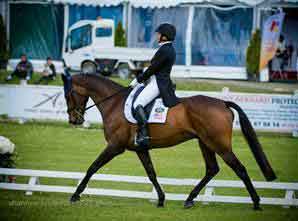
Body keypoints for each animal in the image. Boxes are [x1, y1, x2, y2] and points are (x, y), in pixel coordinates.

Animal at [62, 73, 278, 210]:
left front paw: (75, 195)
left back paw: (256, 203)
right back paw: (189, 200)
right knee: (211, 169)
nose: (74, 120)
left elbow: (93, 167)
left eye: (68, 94)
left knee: (239, 169)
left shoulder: (115, 147)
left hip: (220, 145)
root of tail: (223, 103)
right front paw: (160, 199)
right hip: (205, 143)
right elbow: (151, 173)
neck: (114, 103)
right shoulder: (140, 149)